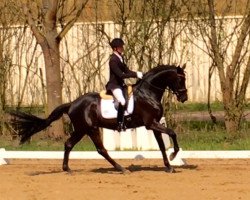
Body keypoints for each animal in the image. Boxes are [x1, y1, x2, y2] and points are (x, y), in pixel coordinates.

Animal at [11, 64, 188, 173]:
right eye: (180, 79)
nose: (184, 98)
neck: (148, 93)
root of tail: (72, 104)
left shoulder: (154, 124)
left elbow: (162, 145)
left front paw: (169, 166)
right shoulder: (151, 123)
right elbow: (172, 133)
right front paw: (174, 156)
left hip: (84, 129)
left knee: (69, 144)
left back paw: (67, 169)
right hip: (88, 128)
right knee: (100, 149)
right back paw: (121, 169)